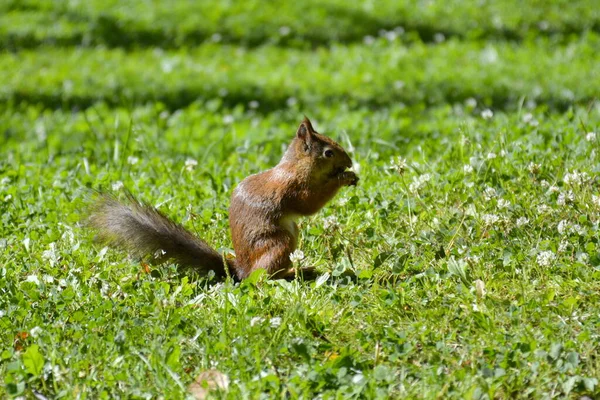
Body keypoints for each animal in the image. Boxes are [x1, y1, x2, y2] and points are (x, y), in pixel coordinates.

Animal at [89, 117, 358, 280]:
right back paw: (293, 274)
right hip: (277, 243)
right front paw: (343, 178)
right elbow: (309, 204)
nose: (349, 162)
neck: (296, 167)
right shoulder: (292, 188)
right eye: (329, 152)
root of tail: (241, 268)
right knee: (262, 278)